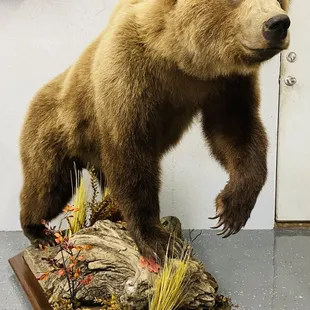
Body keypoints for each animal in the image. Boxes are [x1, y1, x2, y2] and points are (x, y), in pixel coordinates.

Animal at [18, 0, 290, 262]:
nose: (278, 23)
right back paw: (40, 232)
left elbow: (235, 132)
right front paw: (159, 241)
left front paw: (231, 210)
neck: (179, 59)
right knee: (48, 186)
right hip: (54, 131)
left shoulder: (225, 84)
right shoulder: (129, 75)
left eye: (281, 1)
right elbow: (131, 156)